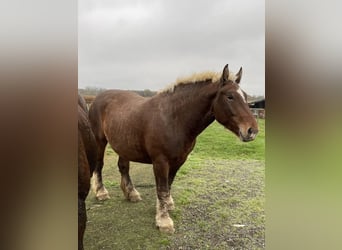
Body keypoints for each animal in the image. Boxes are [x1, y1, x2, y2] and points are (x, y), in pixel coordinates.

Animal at [87, 64, 256, 232]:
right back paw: (101, 192)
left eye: (245, 96)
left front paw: (166, 206)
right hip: (100, 141)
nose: (252, 130)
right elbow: (162, 188)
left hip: (124, 144)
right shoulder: (160, 161)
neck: (173, 118)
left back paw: (131, 193)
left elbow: (168, 184)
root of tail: (96, 99)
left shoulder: (178, 160)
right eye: (230, 96)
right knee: (99, 165)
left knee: (123, 167)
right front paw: (164, 221)